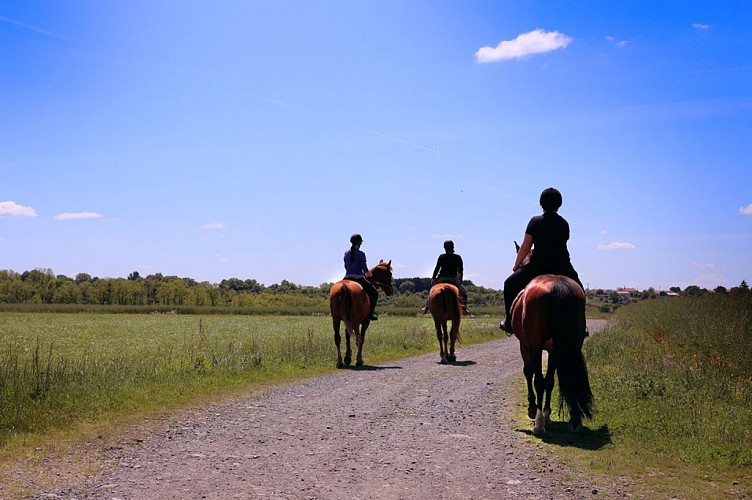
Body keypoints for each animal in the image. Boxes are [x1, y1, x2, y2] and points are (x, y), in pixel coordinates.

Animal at [512, 274, 592, 434]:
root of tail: (557, 284)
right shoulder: (553, 350)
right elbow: (550, 381)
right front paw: (547, 414)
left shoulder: (525, 345)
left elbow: (529, 373)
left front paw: (533, 409)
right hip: (570, 344)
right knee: (562, 377)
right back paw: (574, 420)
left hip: (535, 346)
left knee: (538, 380)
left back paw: (538, 424)